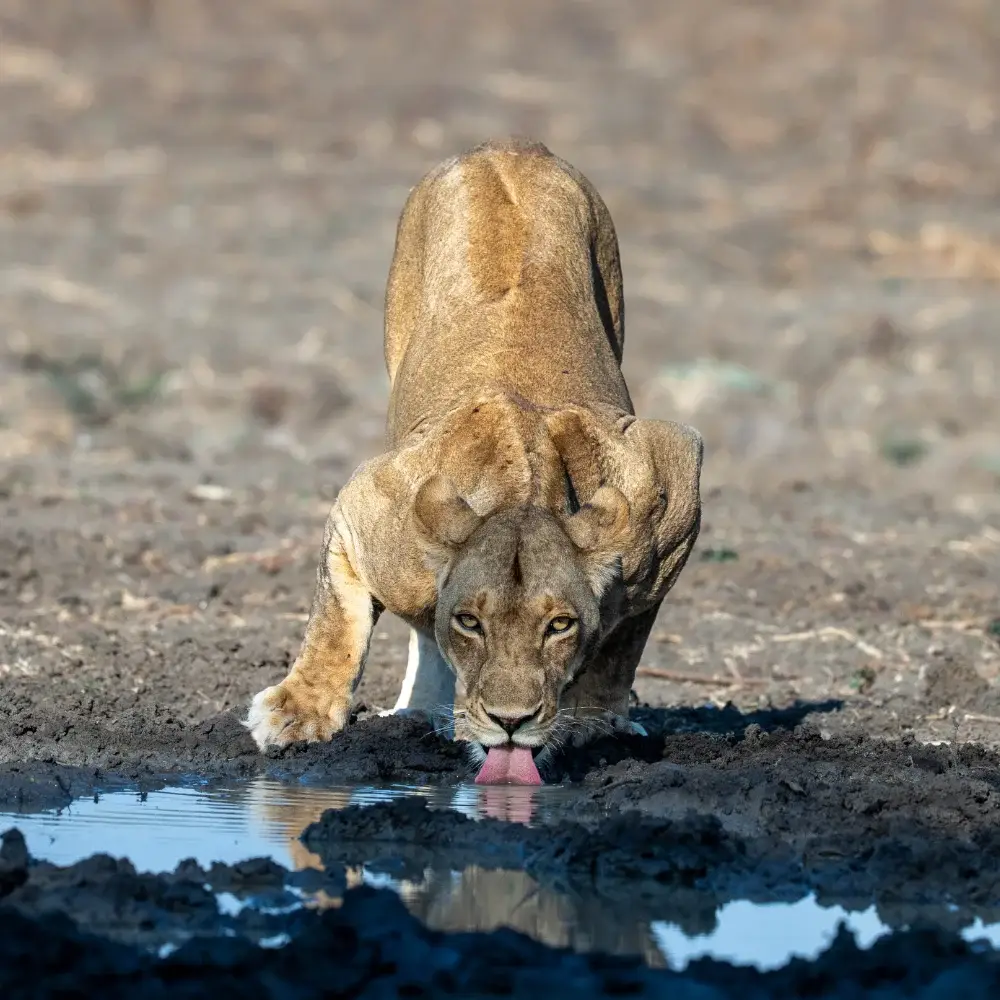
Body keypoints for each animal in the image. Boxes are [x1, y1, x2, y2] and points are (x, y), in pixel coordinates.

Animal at [246, 138, 703, 784]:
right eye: (470, 622)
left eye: (559, 625)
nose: (512, 722)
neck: (526, 491)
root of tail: (512, 146)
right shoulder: (365, 503)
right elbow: (339, 621)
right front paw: (299, 712)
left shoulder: (669, 490)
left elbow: (621, 644)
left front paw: (594, 722)